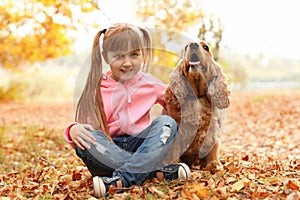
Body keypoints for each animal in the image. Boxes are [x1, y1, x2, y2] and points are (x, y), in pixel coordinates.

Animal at [164, 41, 230, 172]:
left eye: (205, 47)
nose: (193, 44)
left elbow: (213, 148)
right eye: (185, 47)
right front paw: (173, 165)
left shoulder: (212, 130)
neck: (197, 96)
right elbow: (174, 151)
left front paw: (214, 164)